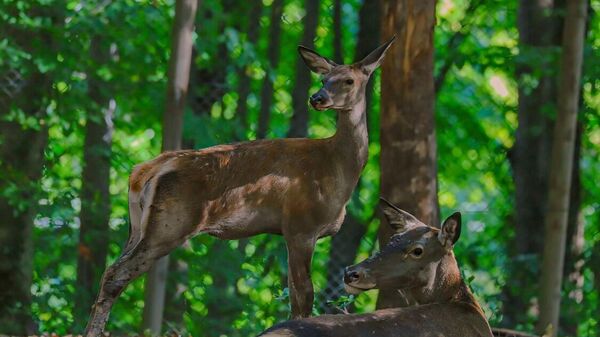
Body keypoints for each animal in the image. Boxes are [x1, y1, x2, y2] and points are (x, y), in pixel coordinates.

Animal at [83, 38, 394, 334]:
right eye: (323, 79)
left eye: (348, 80)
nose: (317, 98)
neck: (336, 168)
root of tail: (145, 171)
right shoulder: (301, 224)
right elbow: (304, 296)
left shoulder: (293, 231)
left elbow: (294, 295)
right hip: (171, 223)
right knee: (116, 274)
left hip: (137, 227)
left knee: (109, 270)